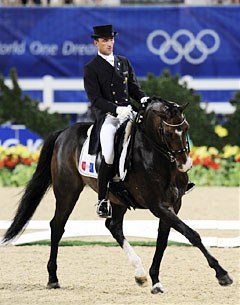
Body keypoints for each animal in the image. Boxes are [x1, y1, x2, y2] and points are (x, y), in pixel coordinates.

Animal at [3, 97, 232, 292]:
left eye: (186, 129)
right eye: (167, 133)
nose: (185, 164)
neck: (157, 157)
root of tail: (64, 132)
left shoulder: (173, 205)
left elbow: (163, 241)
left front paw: (155, 281)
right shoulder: (158, 206)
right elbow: (192, 234)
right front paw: (222, 274)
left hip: (117, 199)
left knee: (113, 226)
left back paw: (140, 274)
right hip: (67, 191)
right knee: (57, 226)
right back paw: (53, 279)